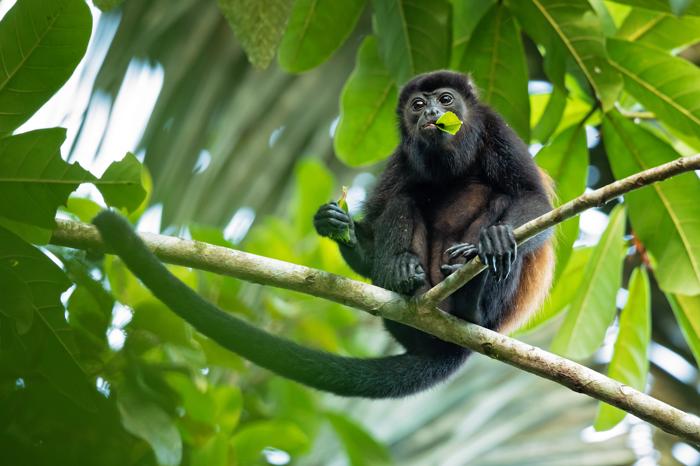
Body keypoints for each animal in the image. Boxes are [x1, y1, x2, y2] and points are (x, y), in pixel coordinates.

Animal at [93, 71, 552, 398]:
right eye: (418, 104)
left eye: (446, 99)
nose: (429, 115)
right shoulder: (400, 156)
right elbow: (384, 211)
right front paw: (340, 227)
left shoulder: (496, 128)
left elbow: (533, 197)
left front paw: (497, 239)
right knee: (404, 200)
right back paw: (404, 276)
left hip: (491, 315)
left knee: (499, 201)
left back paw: (472, 288)